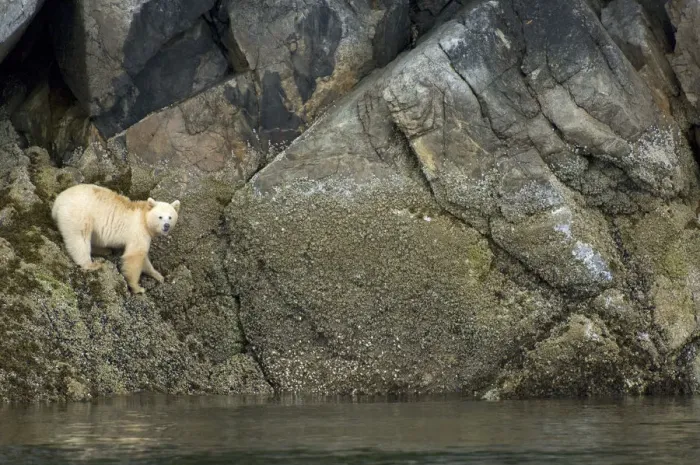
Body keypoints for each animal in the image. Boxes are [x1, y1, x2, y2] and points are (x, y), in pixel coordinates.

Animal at [51, 184, 180, 294]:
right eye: (160, 217)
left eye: (170, 217)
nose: (166, 226)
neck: (143, 218)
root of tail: (58, 201)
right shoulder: (138, 232)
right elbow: (135, 256)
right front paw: (138, 288)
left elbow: (144, 259)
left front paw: (158, 275)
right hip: (79, 214)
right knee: (80, 238)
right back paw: (91, 264)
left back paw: (105, 250)